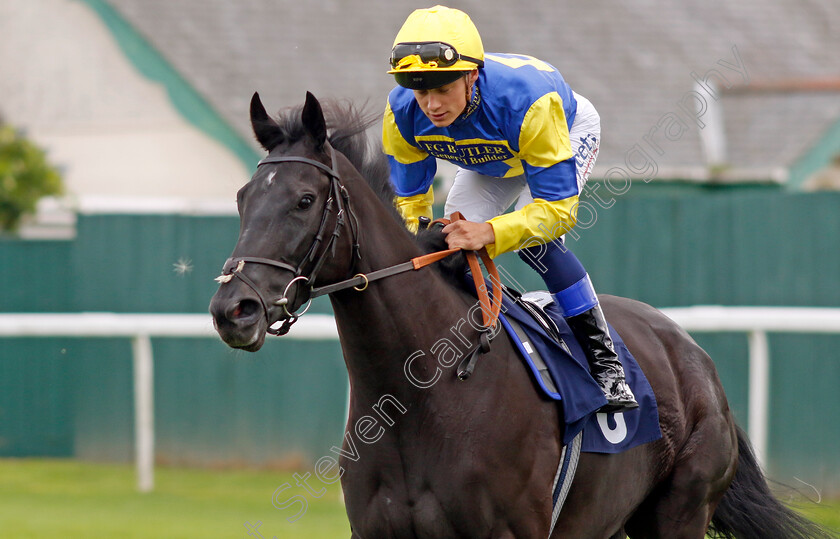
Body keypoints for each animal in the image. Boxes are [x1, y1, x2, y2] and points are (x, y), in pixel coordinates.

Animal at [212, 94, 832, 539]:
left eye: (304, 200)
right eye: (243, 197)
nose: (232, 309)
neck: (420, 397)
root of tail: (694, 355)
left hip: (680, 512)